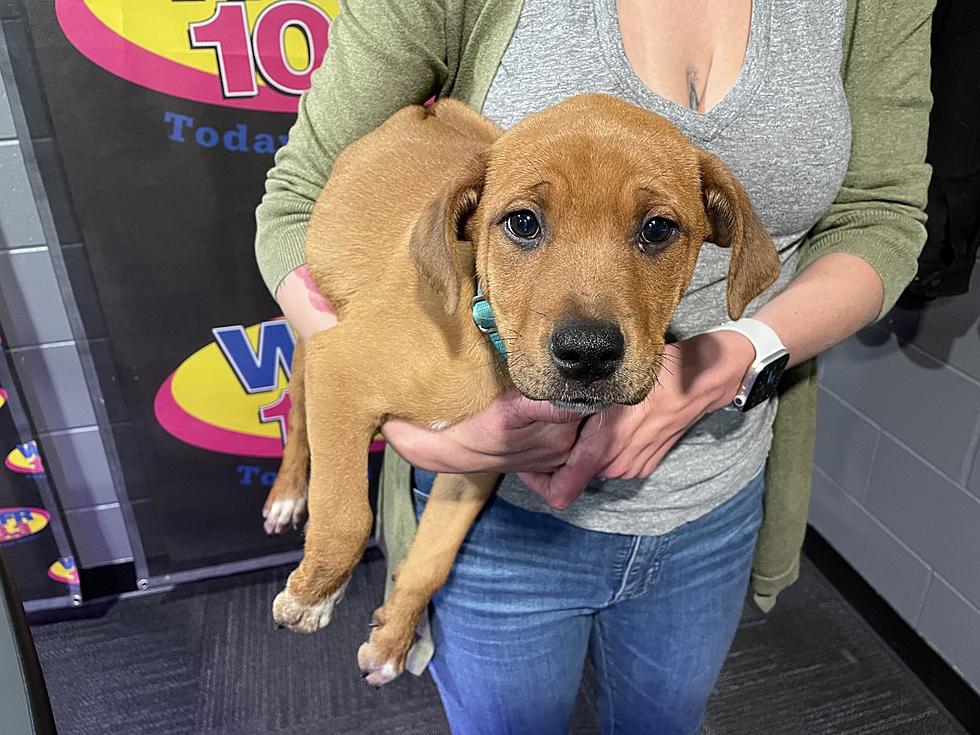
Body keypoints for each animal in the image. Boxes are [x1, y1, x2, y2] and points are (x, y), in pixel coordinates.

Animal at [262, 93, 780, 688]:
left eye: (657, 230)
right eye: (523, 223)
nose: (588, 353)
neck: (485, 330)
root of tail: (424, 111)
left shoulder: (473, 465)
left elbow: (433, 557)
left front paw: (393, 637)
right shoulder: (342, 371)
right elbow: (348, 515)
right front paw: (311, 597)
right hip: (309, 332)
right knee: (298, 413)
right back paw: (287, 494)